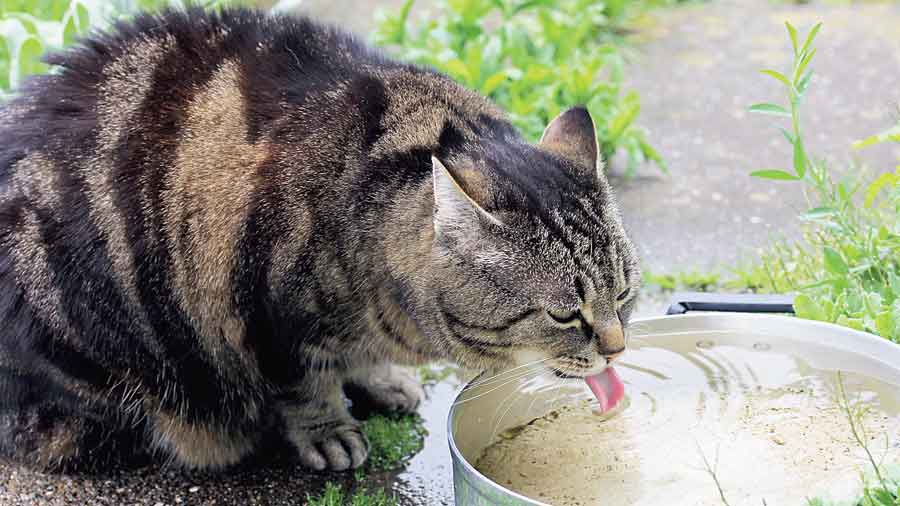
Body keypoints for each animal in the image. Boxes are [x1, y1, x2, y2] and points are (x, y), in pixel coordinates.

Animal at [0, 5, 640, 472]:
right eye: (564, 314)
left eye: (624, 293)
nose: (616, 348)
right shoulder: (262, 312)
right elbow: (304, 383)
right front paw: (329, 429)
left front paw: (379, 378)